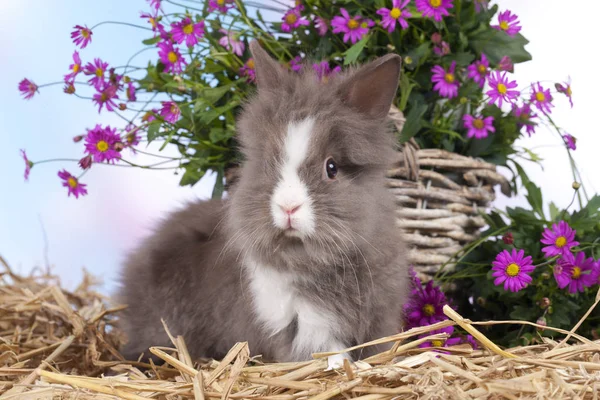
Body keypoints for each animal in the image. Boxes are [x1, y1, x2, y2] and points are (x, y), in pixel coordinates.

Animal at [119, 40, 412, 366]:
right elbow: (331, 358)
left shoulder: (379, 320)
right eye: (270, 164)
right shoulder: (304, 330)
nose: (288, 207)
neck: (313, 260)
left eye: (332, 167)